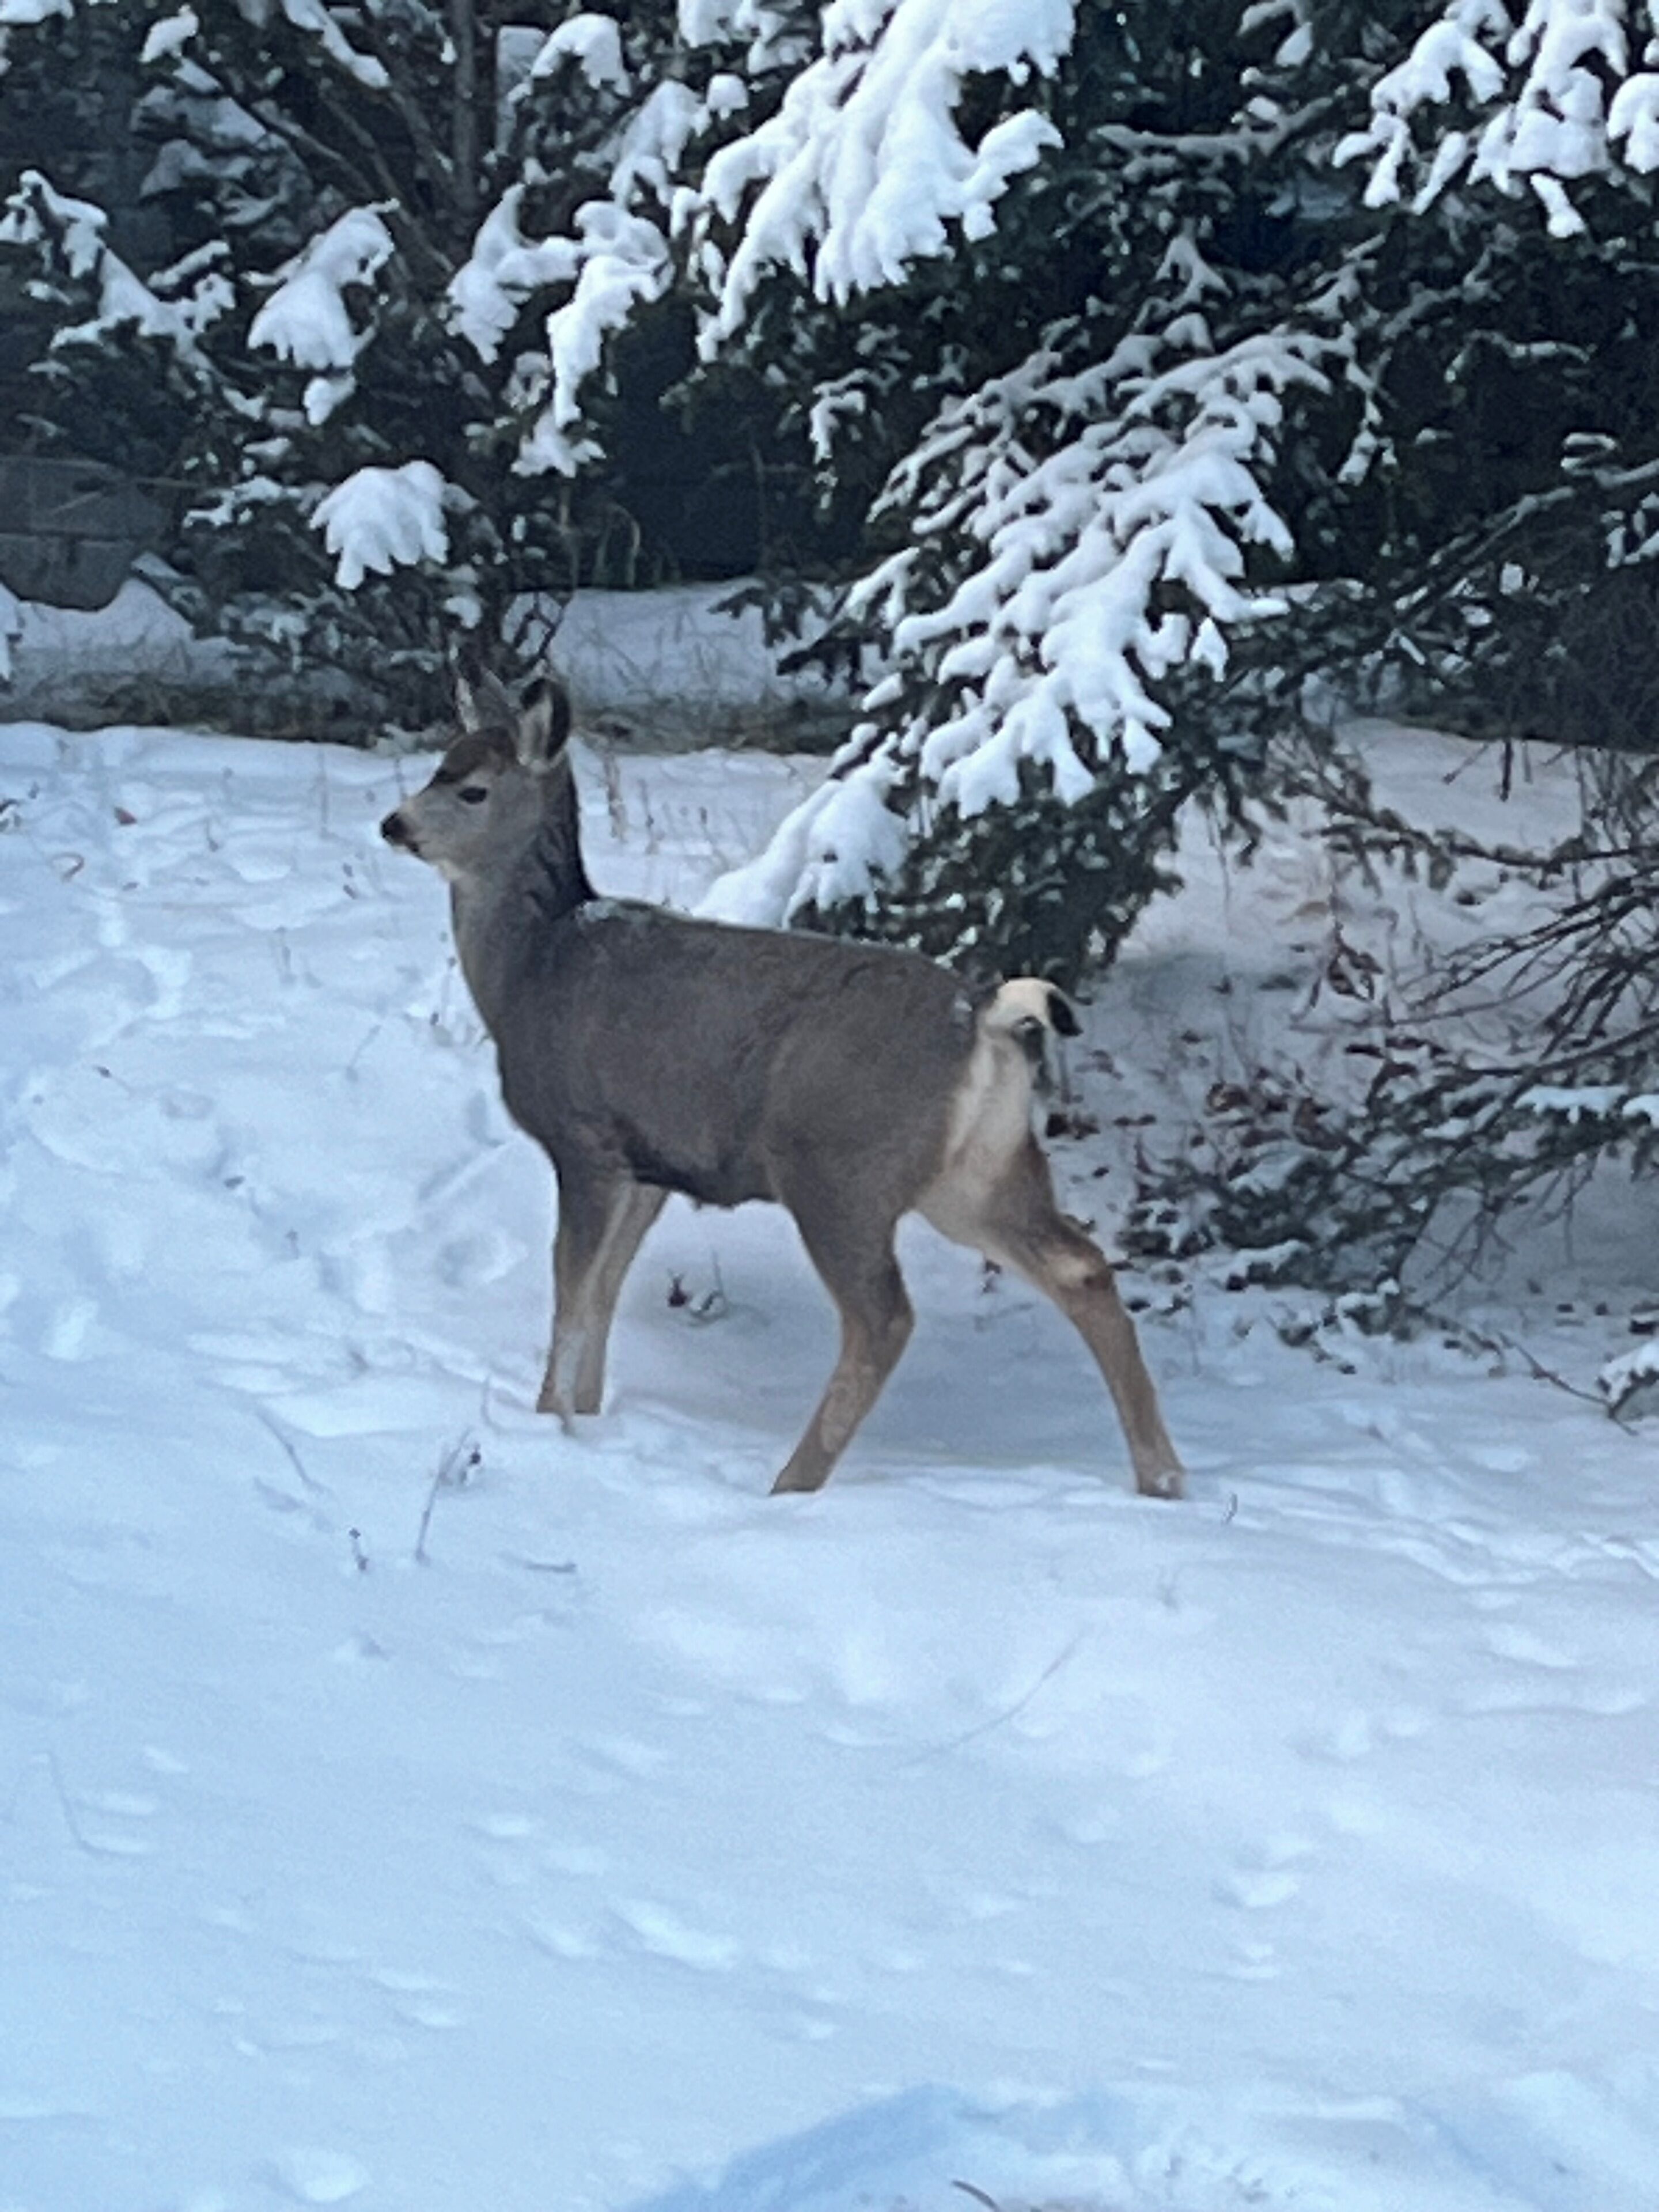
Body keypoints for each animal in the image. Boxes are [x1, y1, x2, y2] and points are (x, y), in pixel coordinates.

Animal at [380, 673, 1184, 1501]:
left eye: (472, 789)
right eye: (441, 761)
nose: (393, 824)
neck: (531, 974)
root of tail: (982, 1013)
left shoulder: (585, 1138)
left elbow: (571, 1294)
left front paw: (551, 1423)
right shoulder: (652, 1164)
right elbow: (605, 1288)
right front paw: (590, 1414)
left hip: (838, 1171)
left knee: (883, 1318)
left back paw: (790, 1485)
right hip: (980, 1172)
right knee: (1080, 1268)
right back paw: (1163, 1478)